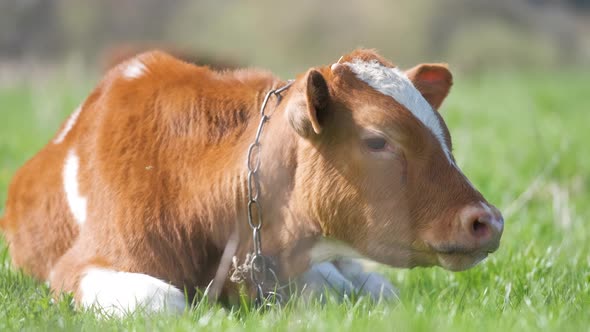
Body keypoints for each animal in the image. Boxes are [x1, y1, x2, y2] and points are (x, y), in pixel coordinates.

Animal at [2, 49, 506, 316]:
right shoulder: (77, 268)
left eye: (444, 136)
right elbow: (165, 301)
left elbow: (332, 286)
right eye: (378, 140)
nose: (489, 221)